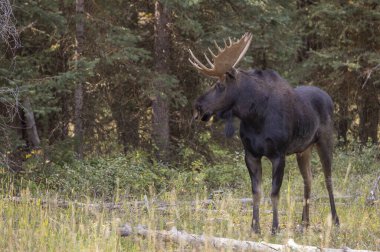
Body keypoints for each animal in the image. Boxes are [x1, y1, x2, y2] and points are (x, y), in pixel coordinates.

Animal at [189, 32, 340, 233]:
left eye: (219, 84)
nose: (198, 107)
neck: (255, 117)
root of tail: (329, 98)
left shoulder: (278, 154)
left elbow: (274, 193)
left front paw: (275, 227)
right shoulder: (251, 154)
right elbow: (256, 192)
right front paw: (255, 226)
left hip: (325, 140)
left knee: (328, 179)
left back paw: (335, 220)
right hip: (303, 149)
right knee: (308, 179)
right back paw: (304, 223)